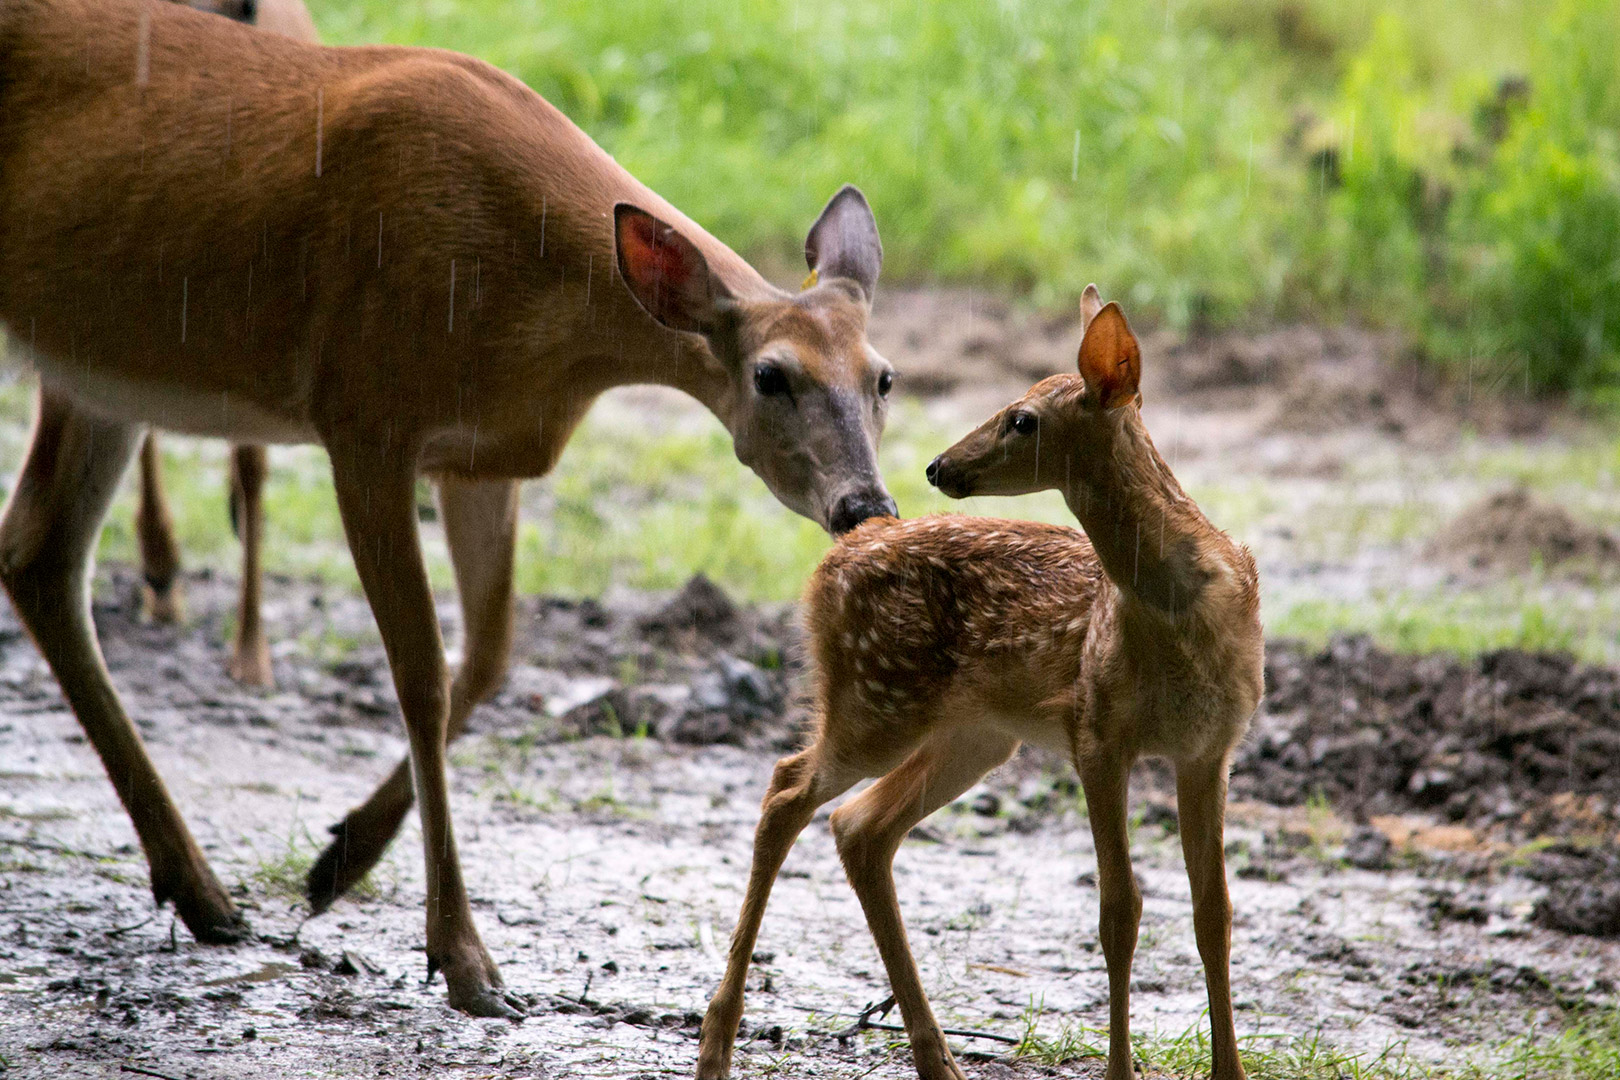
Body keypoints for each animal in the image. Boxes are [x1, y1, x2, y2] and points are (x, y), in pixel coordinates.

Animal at [696, 289, 1263, 1080]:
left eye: (1021, 418)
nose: (939, 466)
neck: (1179, 612)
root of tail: (835, 558)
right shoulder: (1096, 731)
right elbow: (1119, 912)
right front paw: (1120, 1071)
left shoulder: (1210, 748)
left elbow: (1215, 913)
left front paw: (1230, 1071)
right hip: (875, 699)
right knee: (787, 792)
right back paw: (716, 1043)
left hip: (973, 733)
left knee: (859, 826)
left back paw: (937, 1058)